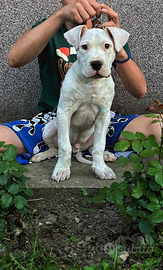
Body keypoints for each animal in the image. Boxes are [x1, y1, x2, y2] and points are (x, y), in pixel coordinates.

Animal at [30, 25, 129, 181]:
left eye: (107, 46)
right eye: (84, 47)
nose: (96, 63)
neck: (91, 82)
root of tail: (77, 147)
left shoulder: (104, 115)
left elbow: (99, 146)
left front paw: (101, 169)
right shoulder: (65, 111)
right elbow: (64, 146)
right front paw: (62, 170)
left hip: (98, 130)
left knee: (91, 148)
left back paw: (106, 155)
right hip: (49, 129)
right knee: (55, 149)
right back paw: (41, 155)